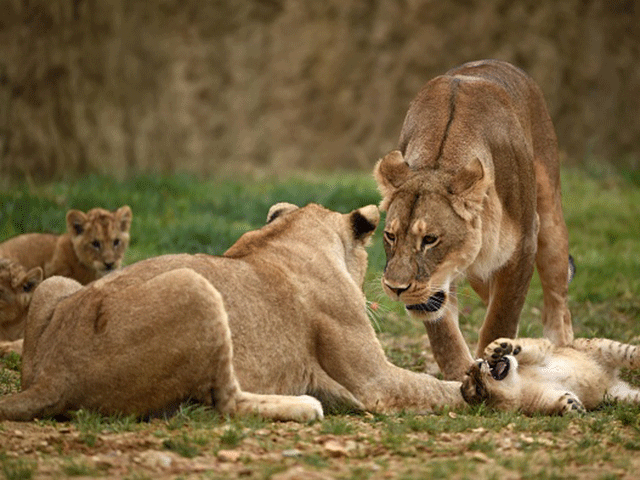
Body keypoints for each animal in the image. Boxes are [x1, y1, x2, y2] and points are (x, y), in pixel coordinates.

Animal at [374, 59, 572, 380]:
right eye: (390, 236)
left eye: (430, 239)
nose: (396, 287)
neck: (439, 159)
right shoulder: (439, 286)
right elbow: (443, 335)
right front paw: (461, 374)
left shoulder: (522, 248)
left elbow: (500, 319)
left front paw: (493, 368)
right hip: (481, 274)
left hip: (550, 218)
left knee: (557, 301)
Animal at [461, 337, 640, 415]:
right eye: (478, 388)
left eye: (469, 372)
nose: (476, 364)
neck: (520, 384)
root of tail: (611, 379)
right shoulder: (543, 399)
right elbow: (559, 400)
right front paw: (573, 406)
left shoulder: (544, 352)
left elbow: (528, 347)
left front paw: (498, 347)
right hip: (618, 396)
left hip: (601, 346)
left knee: (631, 353)